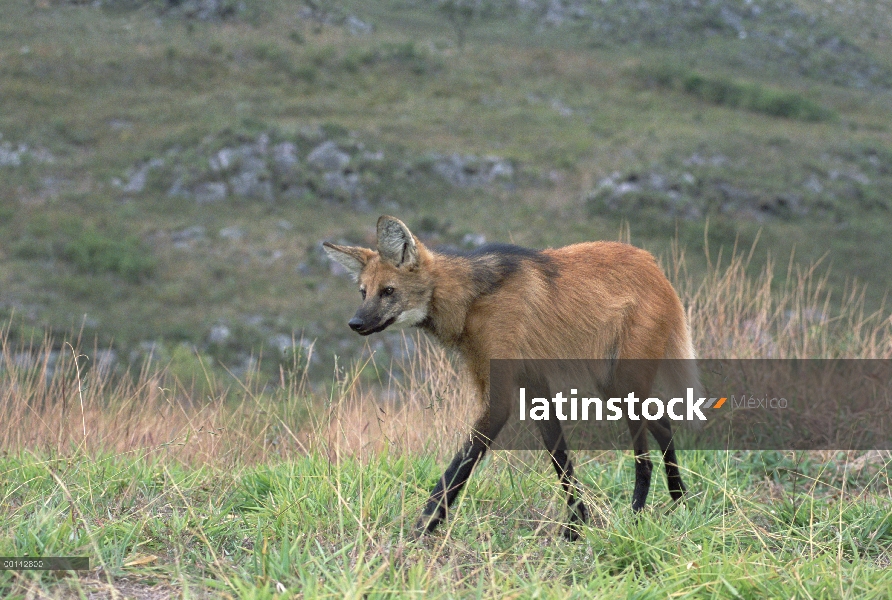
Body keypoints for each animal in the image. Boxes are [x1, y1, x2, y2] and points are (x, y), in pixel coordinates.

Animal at [322, 214, 696, 540]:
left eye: (388, 291)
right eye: (363, 292)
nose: (355, 323)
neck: (471, 301)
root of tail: (654, 266)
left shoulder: (501, 397)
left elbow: (459, 468)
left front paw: (420, 531)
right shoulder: (532, 384)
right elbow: (560, 459)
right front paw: (576, 527)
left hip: (622, 380)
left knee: (647, 449)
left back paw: (641, 512)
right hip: (610, 384)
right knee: (663, 424)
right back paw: (680, 502)